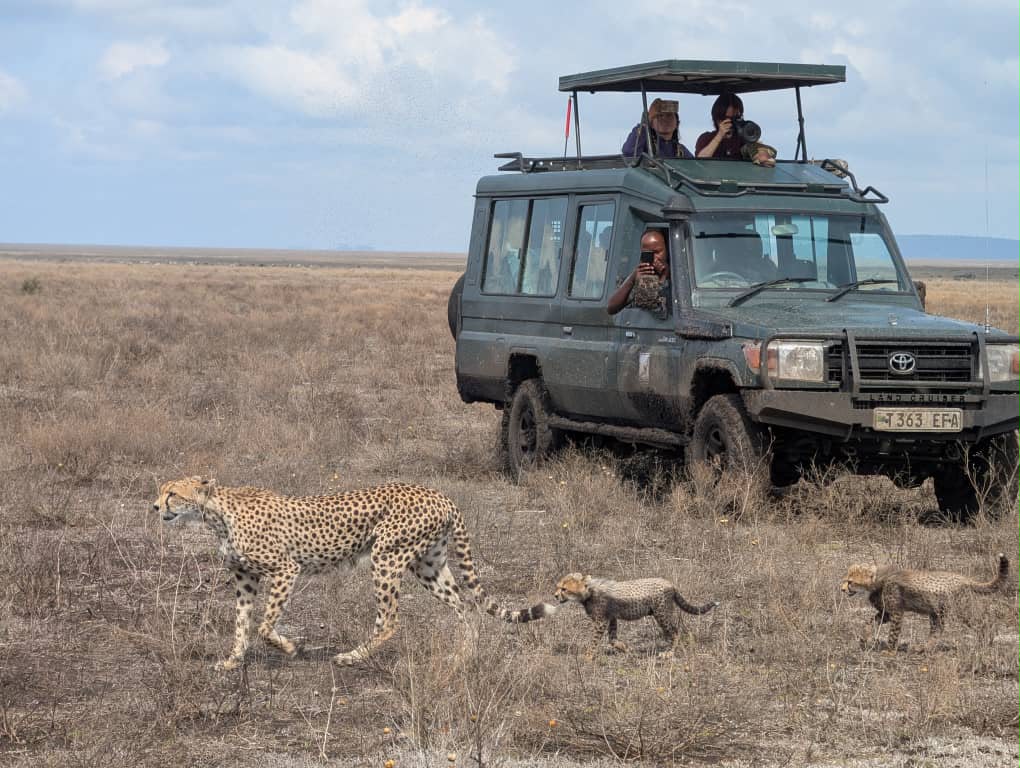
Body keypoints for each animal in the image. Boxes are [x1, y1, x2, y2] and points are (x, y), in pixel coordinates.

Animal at [153, 477, 556, 669]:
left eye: (173, 493)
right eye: (162, 491)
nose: (155, 506)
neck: (216, 514)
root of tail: (441, 495)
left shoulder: (285, 568)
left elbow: (265, 625)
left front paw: (290, 647)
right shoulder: (245, 579)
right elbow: (242, 622)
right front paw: (233, 661)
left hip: (386, 557)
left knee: (390, 619)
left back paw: (353, 657)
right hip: (428, 565)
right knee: (466, 607)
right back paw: (463, 658)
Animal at [554, 572, 719, 657]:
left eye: (564, 589)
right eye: (558, 587)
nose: (555, 596)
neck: (588, 591)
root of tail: (670, 583)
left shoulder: (601, 621)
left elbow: (594, 641)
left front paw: (587, 657)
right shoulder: (611, 617)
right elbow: (612, 639)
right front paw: (625, 649)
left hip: (662, 613)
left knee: (675, 631)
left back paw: (670, 652)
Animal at [840, 553, 1009, 651]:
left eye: (850, 582)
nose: (842, 590)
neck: (878, 579)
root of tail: (963, 578)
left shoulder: (896, 612)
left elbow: (893, 633)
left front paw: (889, 650)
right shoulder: (885, 613)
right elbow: (868, 622)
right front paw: (863, 639)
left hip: (959, 610)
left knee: (981, 622)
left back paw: (986, 642)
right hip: (935, 613)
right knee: (936, 631)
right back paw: (924, 648)